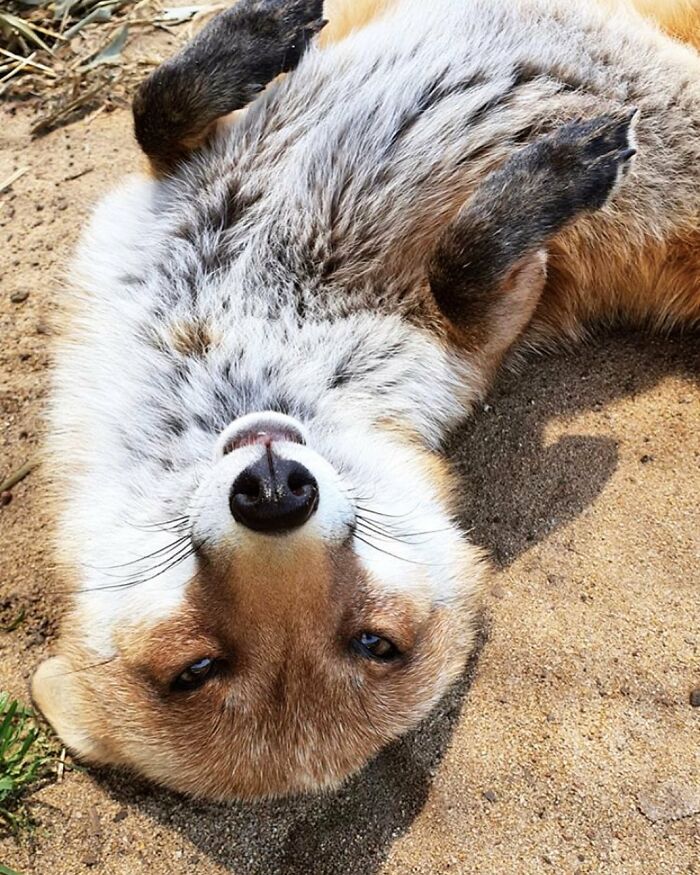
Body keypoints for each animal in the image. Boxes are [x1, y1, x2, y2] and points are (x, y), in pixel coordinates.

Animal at [31, 0, 699, 800]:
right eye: (195, 668)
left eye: (374, 642)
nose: (275, 493)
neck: (237, 332)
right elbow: (464, 261)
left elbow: (155, 108)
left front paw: (258, 33)